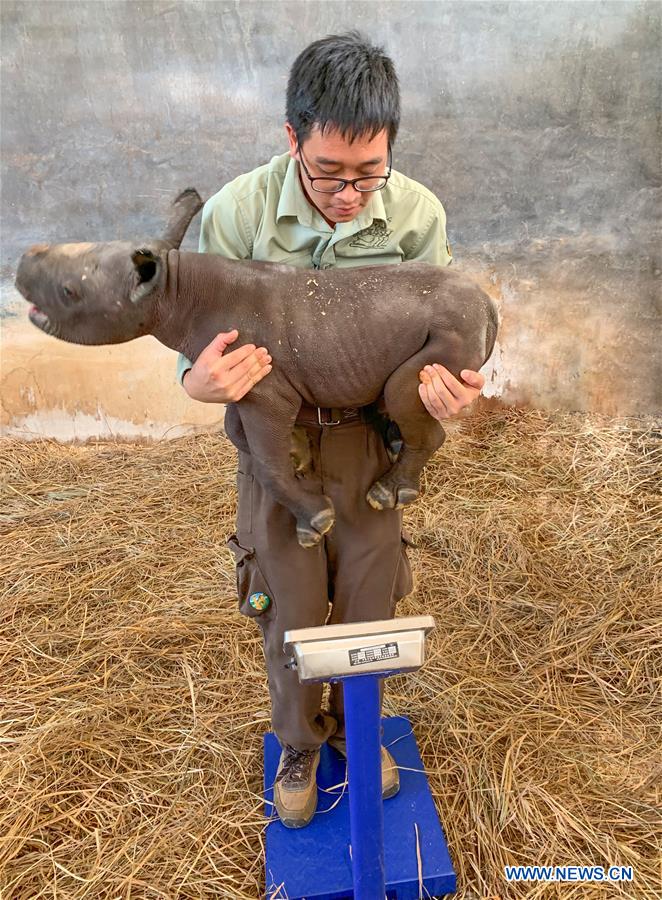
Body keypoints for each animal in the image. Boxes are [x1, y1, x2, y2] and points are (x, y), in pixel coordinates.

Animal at [15, 188, 498, 547]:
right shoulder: (238, 376)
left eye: (69, 292)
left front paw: (316, 520)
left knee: (403, 390)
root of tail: (489, 304)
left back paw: (386, 493)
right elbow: (239, 432)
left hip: (454, 327)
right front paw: (297, 454)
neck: (173, 291)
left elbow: (266, 461)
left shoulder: (265, 388)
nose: (22, 260)